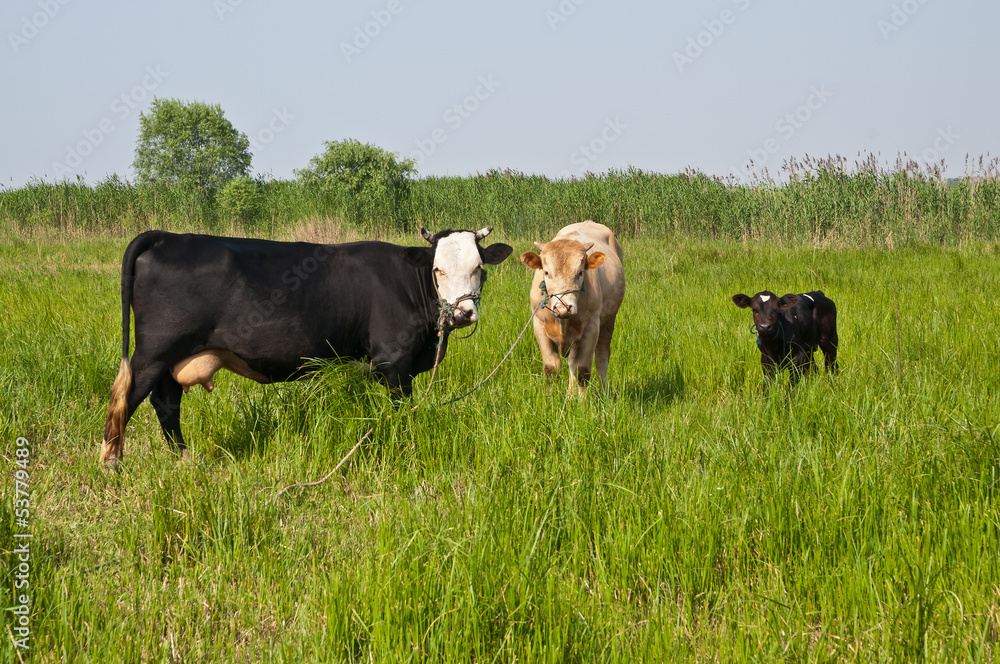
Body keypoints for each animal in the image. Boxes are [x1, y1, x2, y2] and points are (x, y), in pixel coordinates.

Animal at [99, 231, 516, 470]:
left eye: (479, 267)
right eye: (437, 269)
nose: (462, 313)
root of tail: (165, 236)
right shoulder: (395, 362)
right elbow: (400, 412)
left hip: (173, 359)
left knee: (166, 403)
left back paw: (185, 462)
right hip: (154, 353)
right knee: (126, 398)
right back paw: (111, 465)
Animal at [524, 220, 624, 394]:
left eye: (580, 272)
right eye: (546, 272)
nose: (563, 308)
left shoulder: (591, 327)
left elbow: (582, 371)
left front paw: (582, 401)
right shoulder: (539, 324)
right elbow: (551, 368)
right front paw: (551, 398)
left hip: (608, 321)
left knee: (601, 356)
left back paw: (603, 393)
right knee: (572, 362)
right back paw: (570, 395)